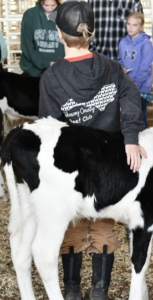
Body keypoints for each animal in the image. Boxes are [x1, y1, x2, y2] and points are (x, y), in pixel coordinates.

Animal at [1, 117, 153, 300]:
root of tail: (21, 129)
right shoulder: (144, 219)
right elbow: (139, 262)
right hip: (55, 210)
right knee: (43, 254)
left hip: (29, 205)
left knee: (20, 249)